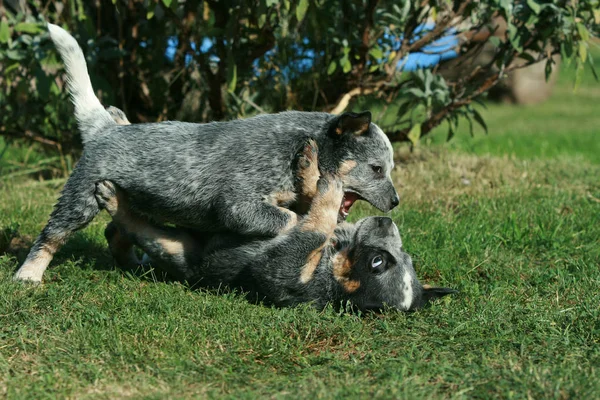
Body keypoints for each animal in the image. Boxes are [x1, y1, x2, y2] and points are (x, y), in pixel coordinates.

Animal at [14, 23, 398, 282]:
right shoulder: (240, 204)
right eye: (377, 168)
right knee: (51, 236)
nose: (396, 203)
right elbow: (291, 219)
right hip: (79, 199)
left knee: (118, 228)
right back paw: (29, 276)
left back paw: (132, 262)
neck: (292, 146)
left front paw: (310, 173)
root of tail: (106, 127)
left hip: (132, 199)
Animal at [94, 144, 452, 312]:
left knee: (140, 228)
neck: (336, 254)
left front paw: (330, 186)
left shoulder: (283, 271)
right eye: (404, 256)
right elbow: (315, 211)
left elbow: (313, 228)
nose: (387, 220)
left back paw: (113, 200)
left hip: (175, 247)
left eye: (377, 262)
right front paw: (311, 170)